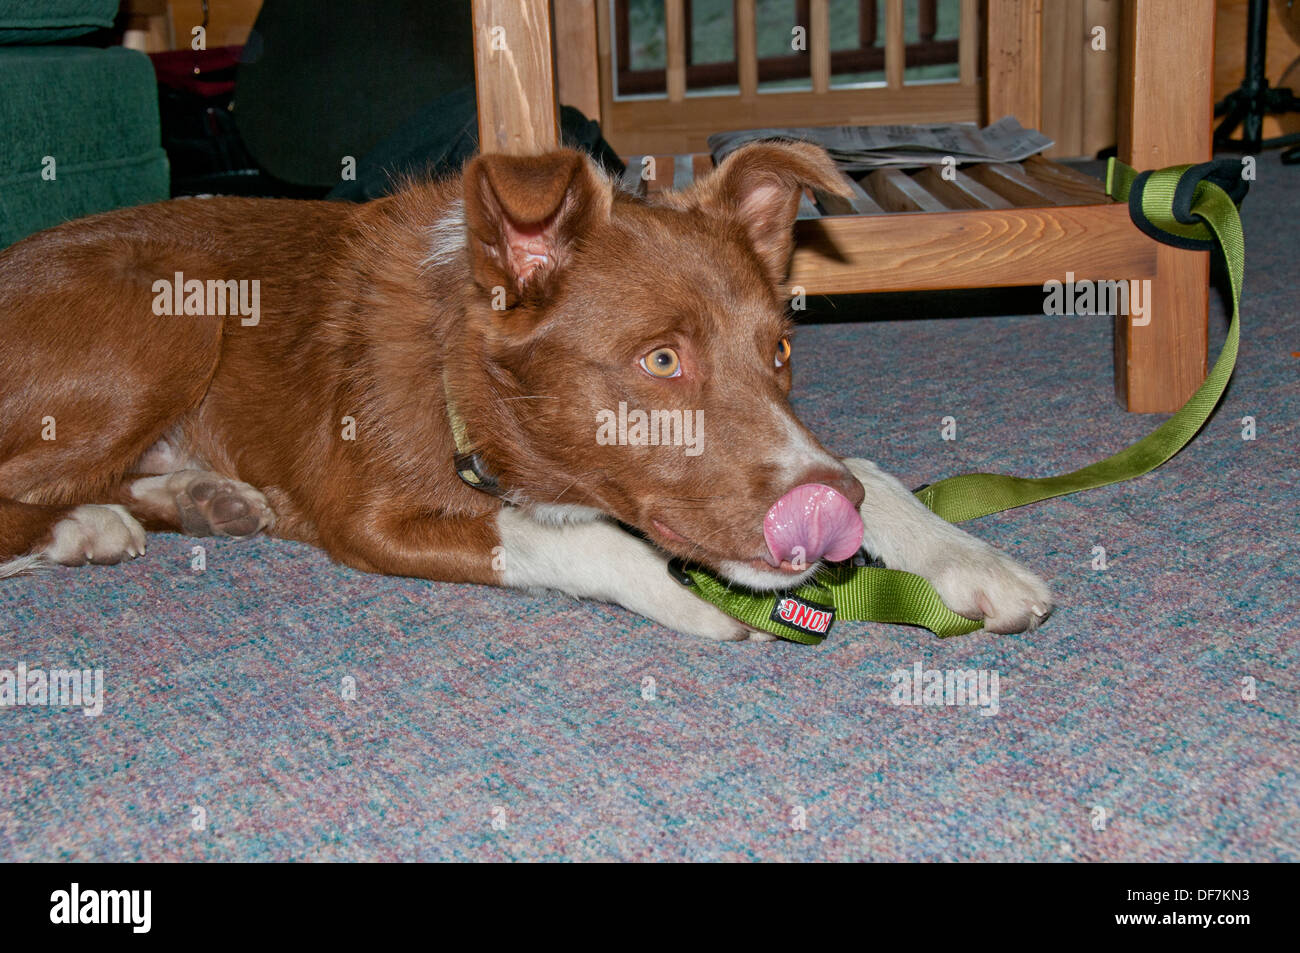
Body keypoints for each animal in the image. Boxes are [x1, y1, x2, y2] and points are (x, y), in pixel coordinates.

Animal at [0, 143, 1050, 639]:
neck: (458, 371)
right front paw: (684, 596)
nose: (819, 514)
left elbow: (864, 465)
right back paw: (84, 527)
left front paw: (966, 555)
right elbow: (562, 534)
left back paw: (197, 496)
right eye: (660, 362)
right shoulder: (363, 514)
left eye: (783, 351)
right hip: (167, 314)